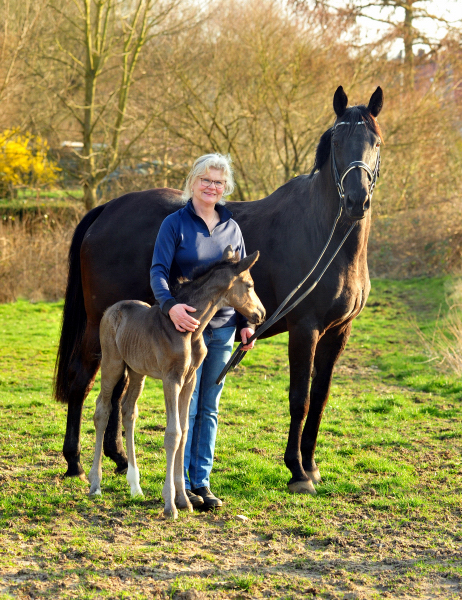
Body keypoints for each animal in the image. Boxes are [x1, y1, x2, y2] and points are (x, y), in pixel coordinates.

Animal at [88, 246, 266, 516]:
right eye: (249, 285)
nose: (261, 314)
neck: (189, 330)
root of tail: (112, 309)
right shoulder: (171, 379)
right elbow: (173, 433)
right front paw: (170, 504)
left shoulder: (189, 380)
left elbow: (184, 432)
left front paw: (184, 499)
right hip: (113, 364)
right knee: (102, 409)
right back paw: (95, 484)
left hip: (137, 371)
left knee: (129, 412)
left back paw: (135, 486)